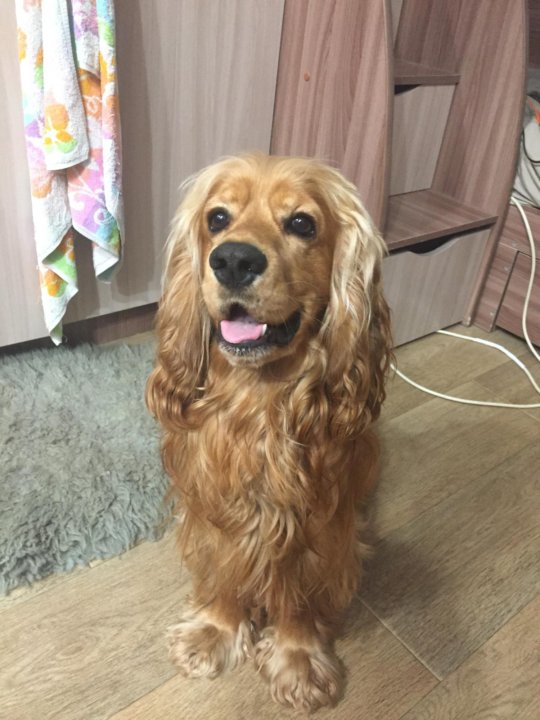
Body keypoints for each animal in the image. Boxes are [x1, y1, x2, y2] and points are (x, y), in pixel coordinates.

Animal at [146, 153, 392, 712]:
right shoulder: (219, 509)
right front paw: (215, 631)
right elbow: (227, 569)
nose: (233, 260)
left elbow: (298, 593)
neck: (258, 402)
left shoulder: (313, 522)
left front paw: (297, 659)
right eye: (217, 218)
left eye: (302, 223)